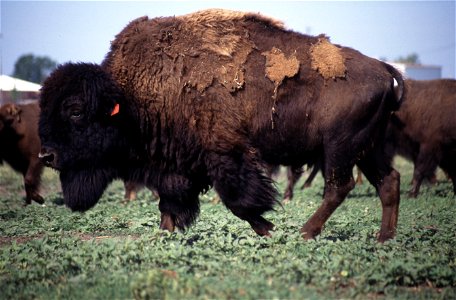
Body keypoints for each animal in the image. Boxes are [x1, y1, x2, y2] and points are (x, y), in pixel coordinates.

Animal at [38, 8, 402, 241]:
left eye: (75, 110)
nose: (46, 156)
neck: (129, 97)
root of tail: (385, 70)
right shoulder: (175, 167)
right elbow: (169, 204)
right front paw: (165, 235)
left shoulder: (225, 155)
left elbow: (239, 201)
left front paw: (269, 230)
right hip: (366, 150)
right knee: (388, 182)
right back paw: (383, 239)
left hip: (340, 149)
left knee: (339, 187)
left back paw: (306, 233)